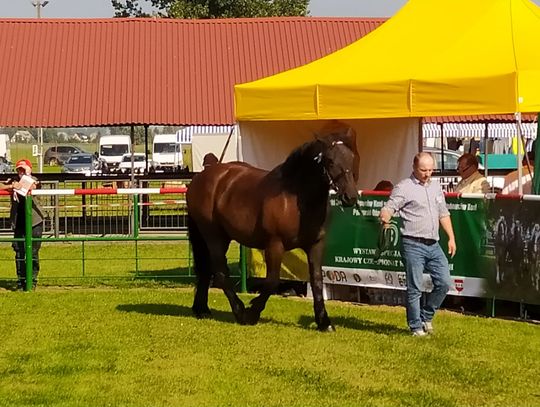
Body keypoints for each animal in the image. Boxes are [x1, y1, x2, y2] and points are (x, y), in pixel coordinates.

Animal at [186, 127, 358, 332]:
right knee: (220, 272)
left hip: (219, 237)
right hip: (213, 235)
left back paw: (202, 309)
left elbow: (317, 280)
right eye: (330, 160)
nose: (350, 196)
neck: (295, 199)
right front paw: (252, 313)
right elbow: (272, 281)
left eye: (352, 158)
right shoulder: (275, 245)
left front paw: (324, 322)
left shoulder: (315, 245)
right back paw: (239, 311)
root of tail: (201, 177)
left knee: (206, 269)